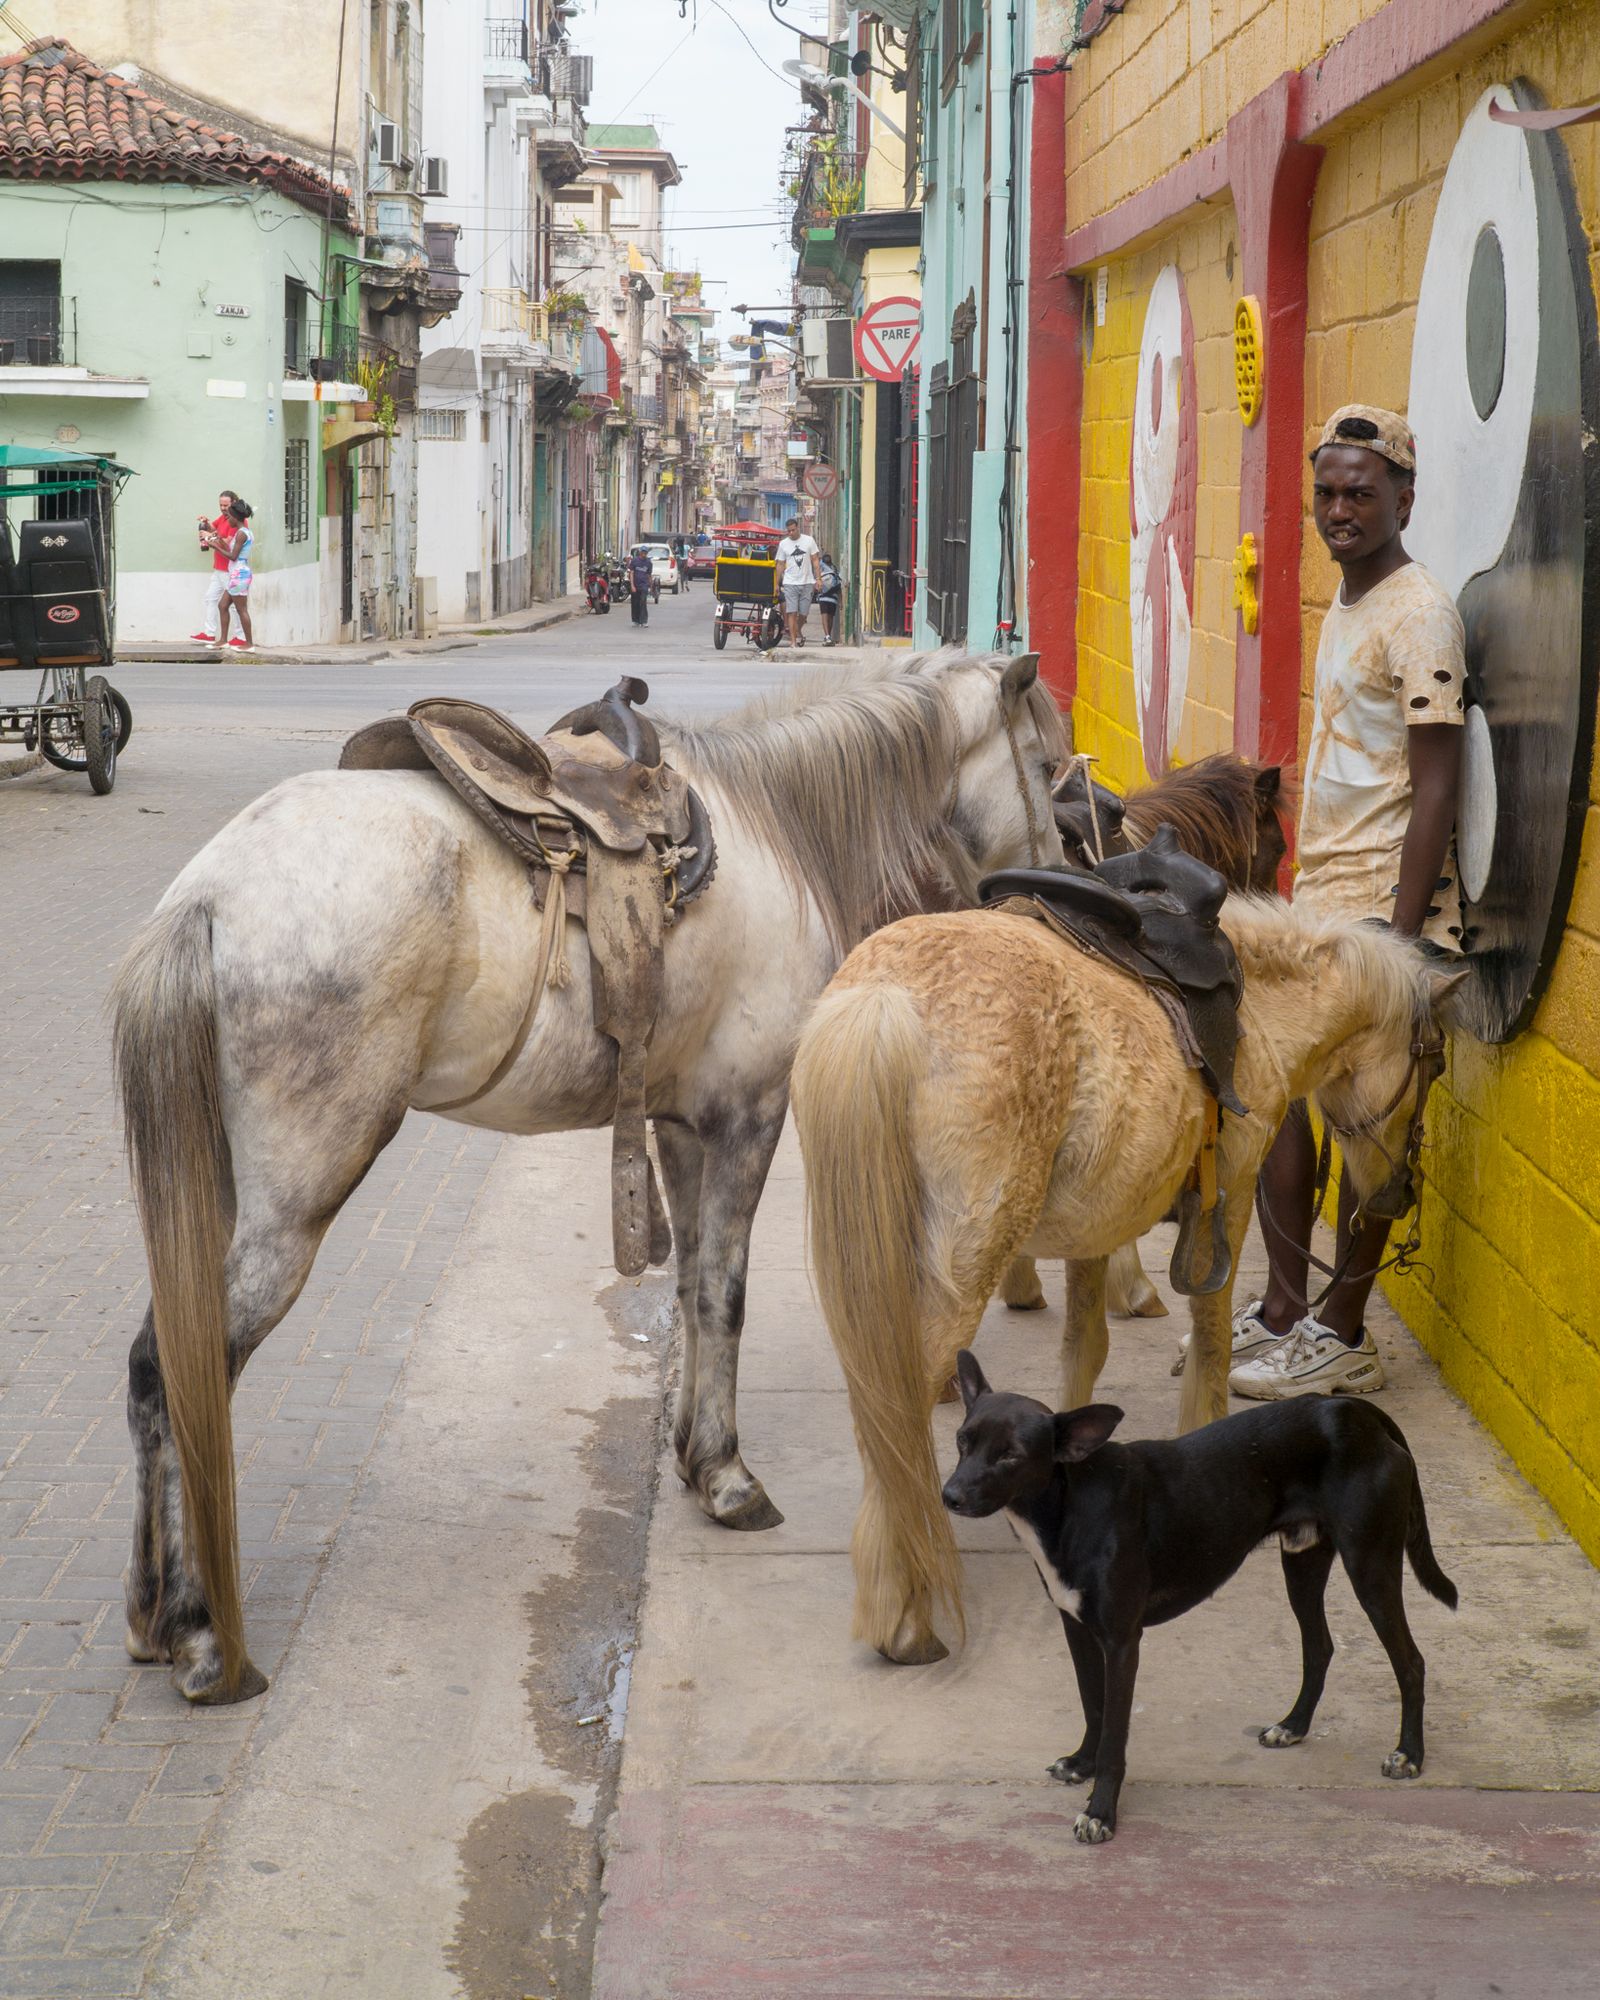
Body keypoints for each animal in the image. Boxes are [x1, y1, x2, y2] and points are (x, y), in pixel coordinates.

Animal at [109, 648, 1064, 1696]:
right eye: (1049, 767)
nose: (1057, 887)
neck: (778, 829)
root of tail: (209, 895)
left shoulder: (681, 1126)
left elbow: (689, 1289)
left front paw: (693, 1457)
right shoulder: (749, 1119)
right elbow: (726, 1294)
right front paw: (730, 1478)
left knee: (160, 1371)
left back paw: (153, 1617)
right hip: (293, 1205)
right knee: (182, 1367)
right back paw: (201, 1635)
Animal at [788, 900, 1464, 1664]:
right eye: (1435, 1062)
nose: (1396, 1197)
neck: (1259, 1008)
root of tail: (884, 997)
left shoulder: (1097, 1226)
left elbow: (1083, 1351)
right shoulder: (1230, 1196)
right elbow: (1210, 1340)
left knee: (876, 1409)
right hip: (965, 1261)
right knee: (898, 1408)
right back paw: (904, 1616)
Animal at [944, 1360, 1456, 1840]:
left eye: (1011, 1455)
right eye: (962, 1441)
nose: (949, 1496)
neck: (1068, 1504)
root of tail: (1356, 1411)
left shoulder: (1122, 1643)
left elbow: (1115, 1735)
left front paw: (1100, 1811)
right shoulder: (1079, 1631)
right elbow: (1094, 1707)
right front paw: (1081, 1763)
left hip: (1370, 1567)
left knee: (1411, 1662)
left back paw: (1409, 1754)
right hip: (1303, 1563)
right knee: (1320, 1647)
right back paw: (1293, 1726)